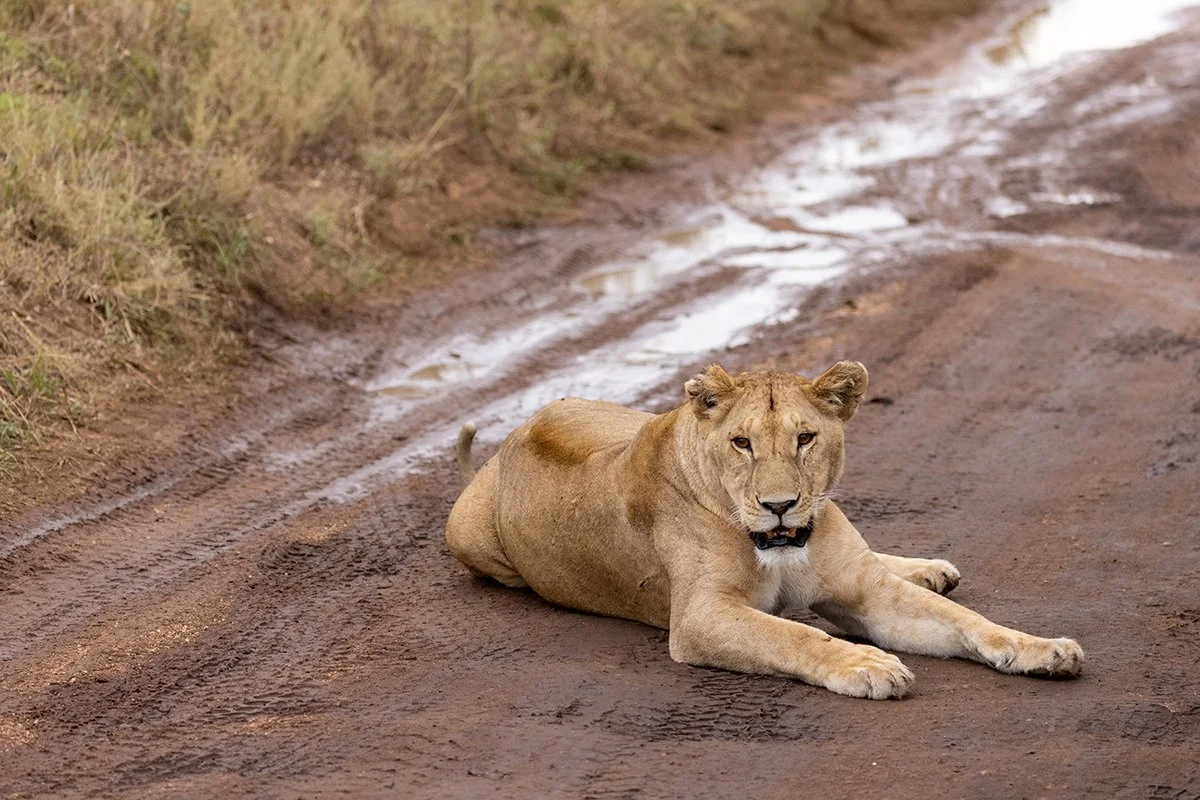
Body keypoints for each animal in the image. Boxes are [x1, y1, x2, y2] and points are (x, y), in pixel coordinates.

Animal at [445, 362, 1083, 699]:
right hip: (471, 540)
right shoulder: (700, 617)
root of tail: (507, 443)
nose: (780, 505)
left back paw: (928, 570)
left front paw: (1043, 648)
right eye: (742, 442)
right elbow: (794, 635)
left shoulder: (867, 593)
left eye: (805, 438)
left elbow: (967, 621)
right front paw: (867, 664)